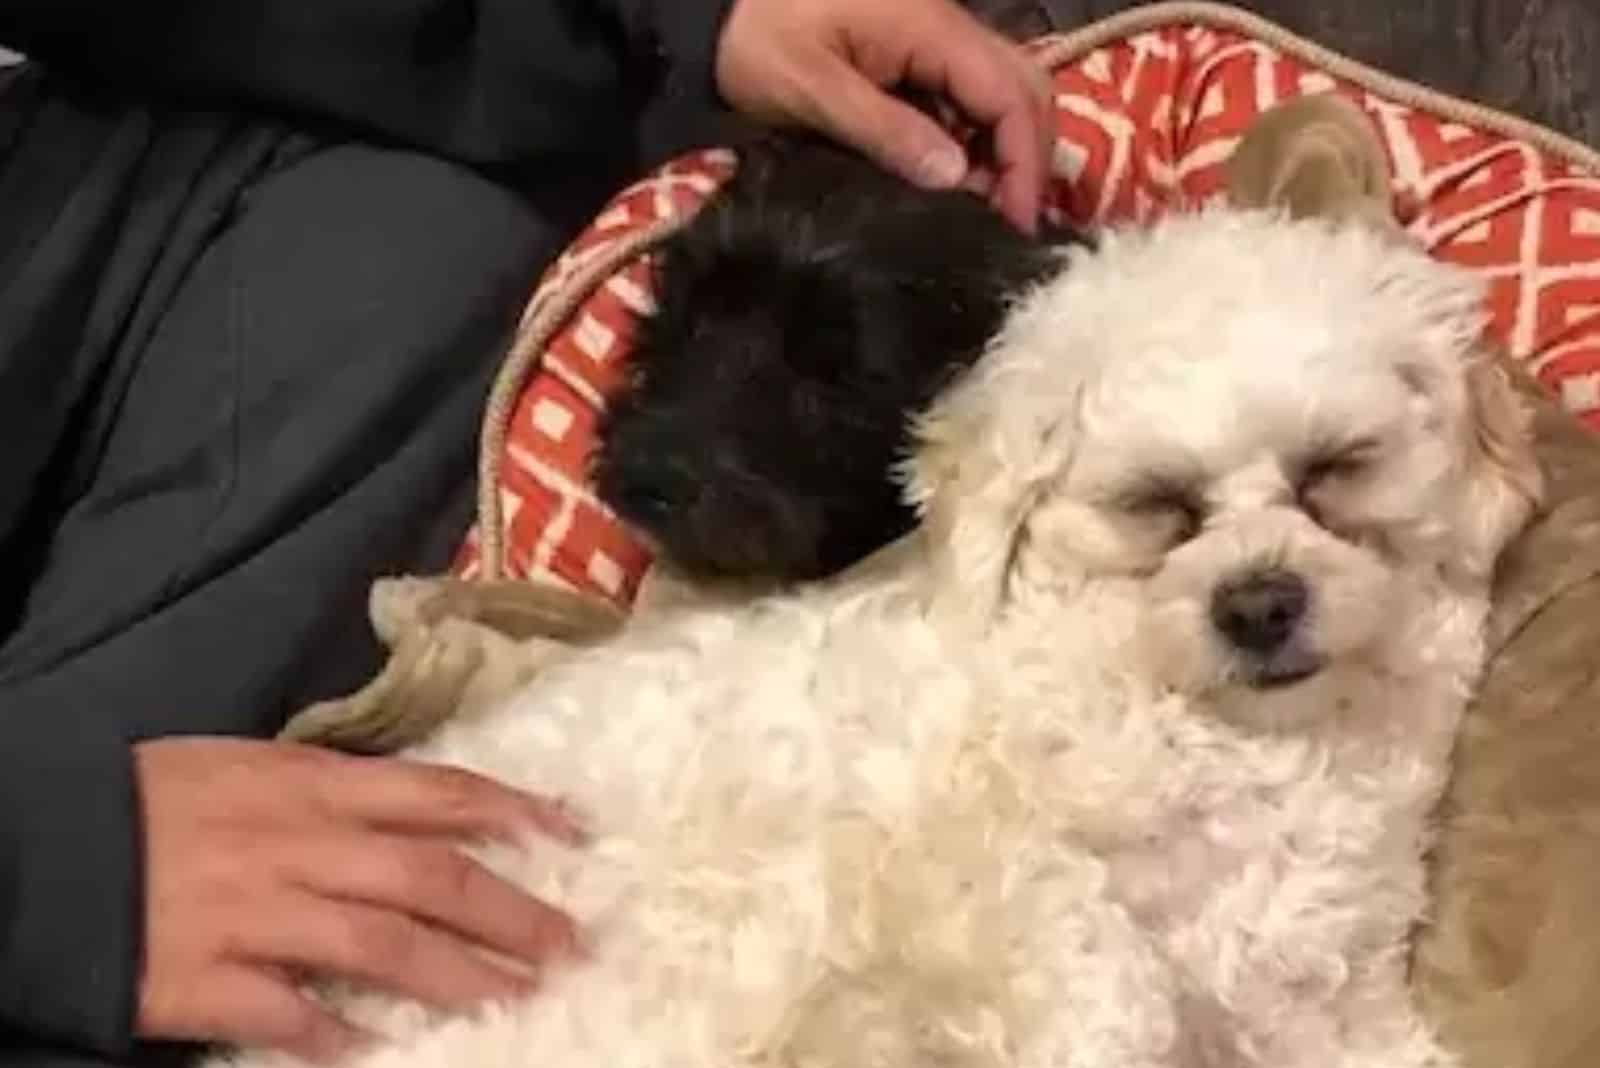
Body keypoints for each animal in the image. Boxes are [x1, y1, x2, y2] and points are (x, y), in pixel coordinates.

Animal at [222, 207, 1536, 1068]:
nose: (1259, 604)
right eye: (1158, 505)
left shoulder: (1318, 981)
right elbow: (1096, 968)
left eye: (1335, 472)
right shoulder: (990, 878)